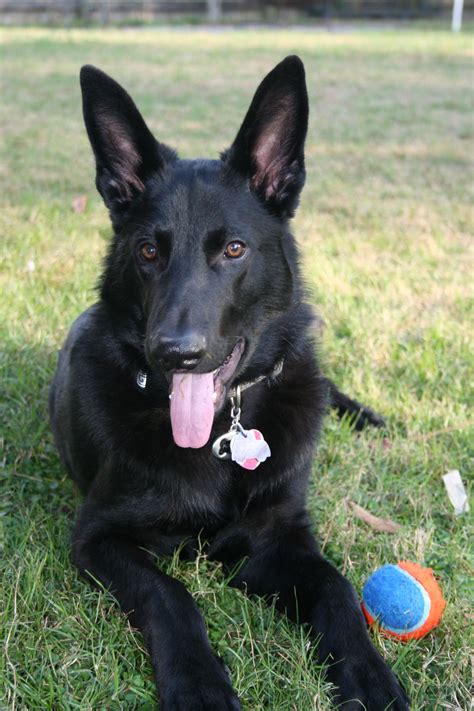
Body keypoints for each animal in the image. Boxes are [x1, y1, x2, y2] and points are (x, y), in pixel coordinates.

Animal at [50, 58, 410, 708]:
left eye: (235, 249)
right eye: (148, 251)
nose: (175, 352)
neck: (221, 431)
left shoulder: (279, 537)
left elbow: (337, 588)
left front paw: (369, 676)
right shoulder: (97, 537)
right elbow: (170, 594)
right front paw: (199, 683)